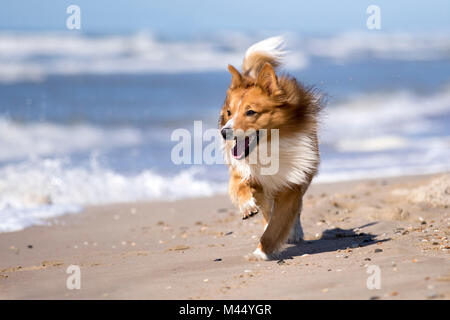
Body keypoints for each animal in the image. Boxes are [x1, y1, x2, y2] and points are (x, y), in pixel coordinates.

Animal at [219, 35, 322, 260]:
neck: (267, 147)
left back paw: (294, 233)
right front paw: (247, 206)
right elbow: (239, 185)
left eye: (250, 112)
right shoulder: (244, 171)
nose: (224, 132)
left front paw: (261, 252)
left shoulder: (291, 183)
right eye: (229, 112)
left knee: (295, 211)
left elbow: (277, 225)